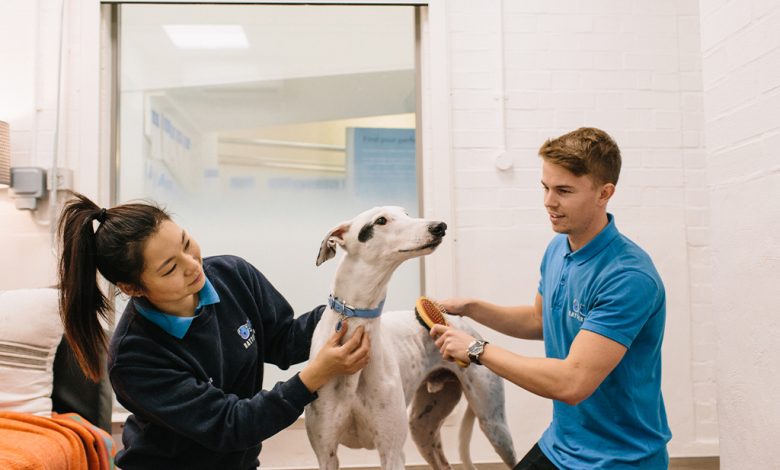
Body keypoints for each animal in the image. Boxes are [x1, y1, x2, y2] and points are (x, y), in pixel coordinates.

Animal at [306, 207, 516, 468]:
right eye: (381, 220)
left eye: (405, 212)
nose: (439, 226)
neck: (356, 324)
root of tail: (463, 325)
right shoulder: (326, 453)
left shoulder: (392, 451)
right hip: (423, 427)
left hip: (493, 424)